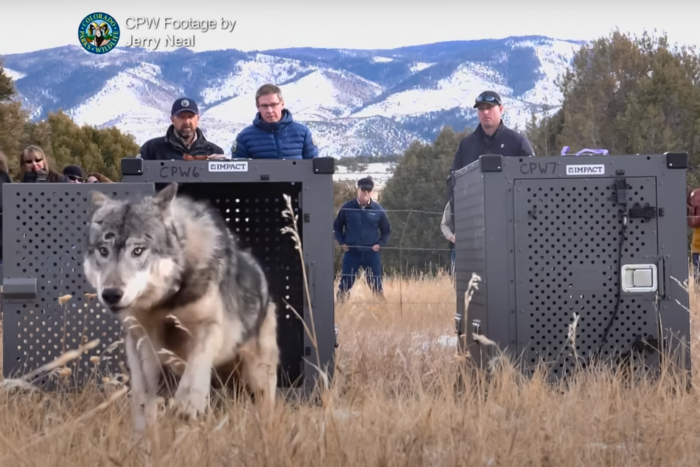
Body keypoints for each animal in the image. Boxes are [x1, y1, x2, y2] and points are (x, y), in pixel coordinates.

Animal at [83, 182, 279, 434]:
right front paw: (144, 433)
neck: (165, 303)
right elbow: (143, 397)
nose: (111, 294)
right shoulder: (140, 343)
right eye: (103, 251)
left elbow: (196, 366)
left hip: (256, 377)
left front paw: (188, 405)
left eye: (138, 250)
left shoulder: (210, 326)